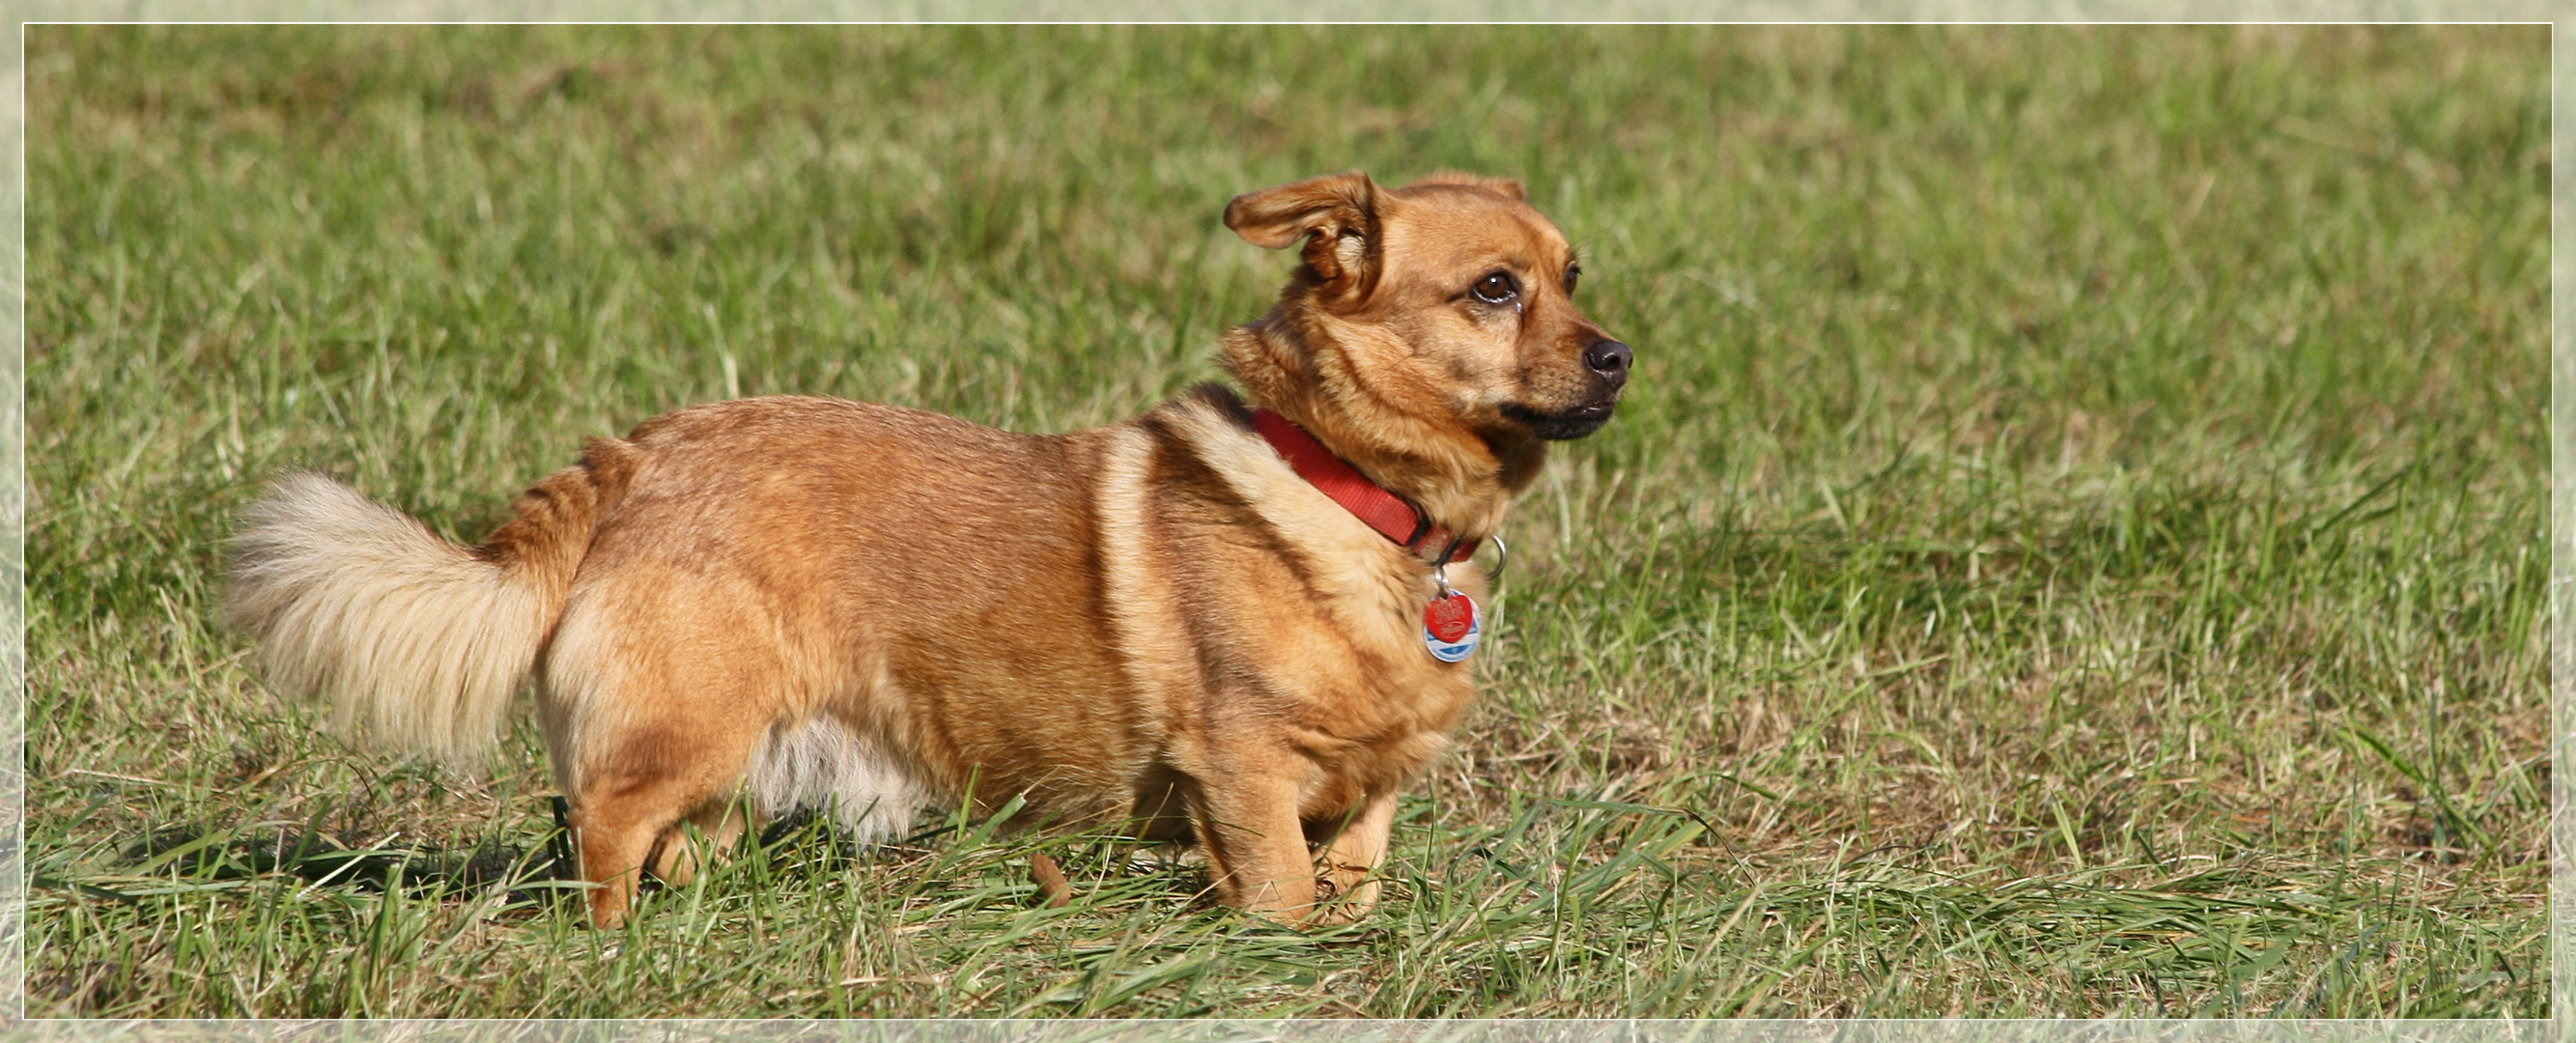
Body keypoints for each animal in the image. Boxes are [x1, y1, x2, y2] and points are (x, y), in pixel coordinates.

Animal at [226, 171, 1628, 927]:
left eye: (1573, 275)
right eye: (1494, 291)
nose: (1619, 355)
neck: (1360, 500)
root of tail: (634, 454)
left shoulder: (1370, 795)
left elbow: (1355, 882)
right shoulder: (1241, 769)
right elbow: (1279, 895)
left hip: (735, 760)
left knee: (668, 841)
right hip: (684, 730)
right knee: (605, 832)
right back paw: (609, 954)